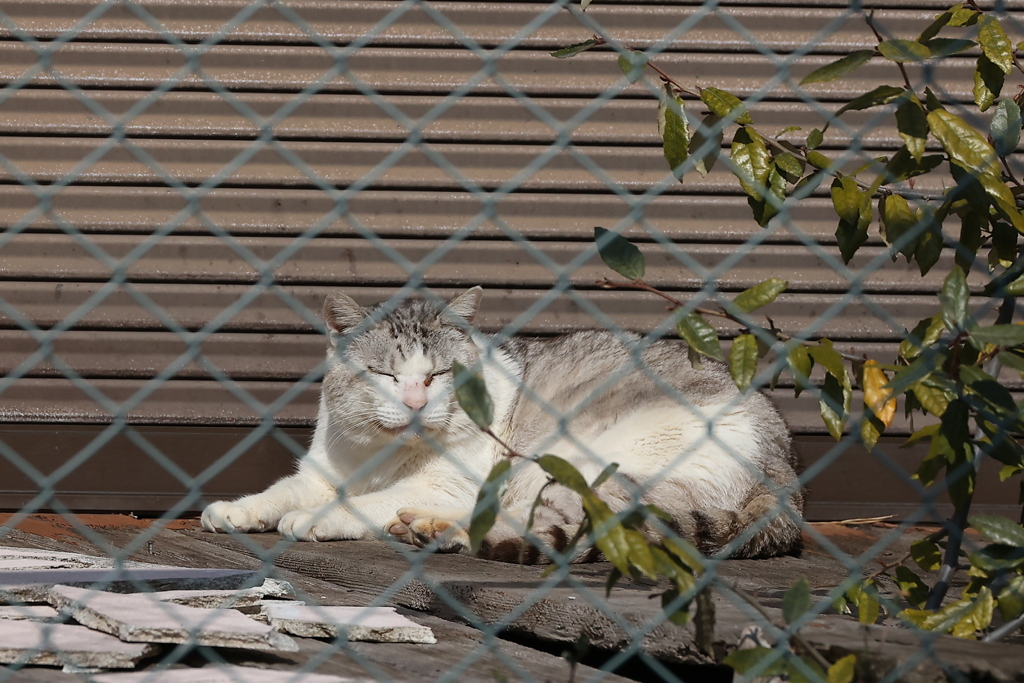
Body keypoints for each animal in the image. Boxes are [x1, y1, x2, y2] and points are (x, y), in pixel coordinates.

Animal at [199, 288, 802, 561]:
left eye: (439, 374)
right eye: (387, 375)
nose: (416, 401)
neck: (380, 457)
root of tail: (786, 472)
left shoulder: (447, 482)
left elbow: (358, 503)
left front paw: (316, 519)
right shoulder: (321, 473)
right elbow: (281, 491)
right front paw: (237, 510)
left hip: (573, 467)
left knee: (549, 531)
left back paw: (434, 531)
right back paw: (422, 529)